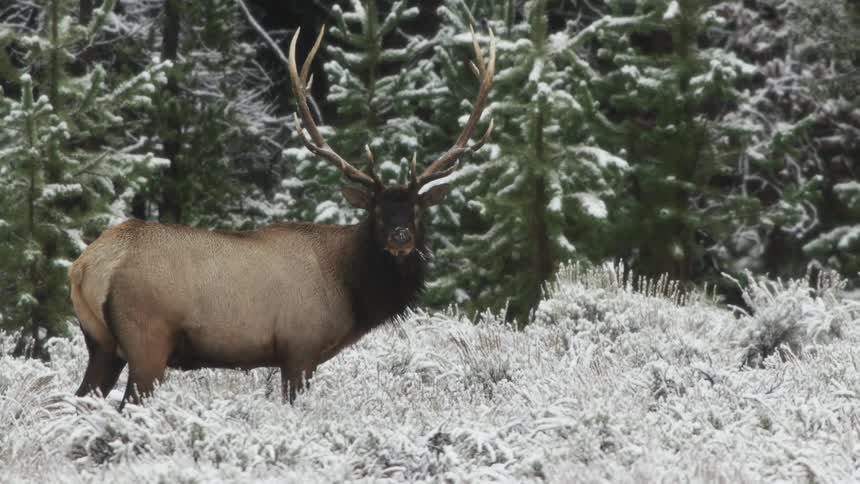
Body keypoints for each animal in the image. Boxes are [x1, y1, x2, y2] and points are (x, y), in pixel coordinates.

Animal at [69, 26, 495, 406]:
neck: (349, 289)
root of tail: (87, 265)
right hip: (147, 340)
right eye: (376, 210)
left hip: (101, 344)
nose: (401, 237)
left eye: (418, 209)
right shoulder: (299, 348)